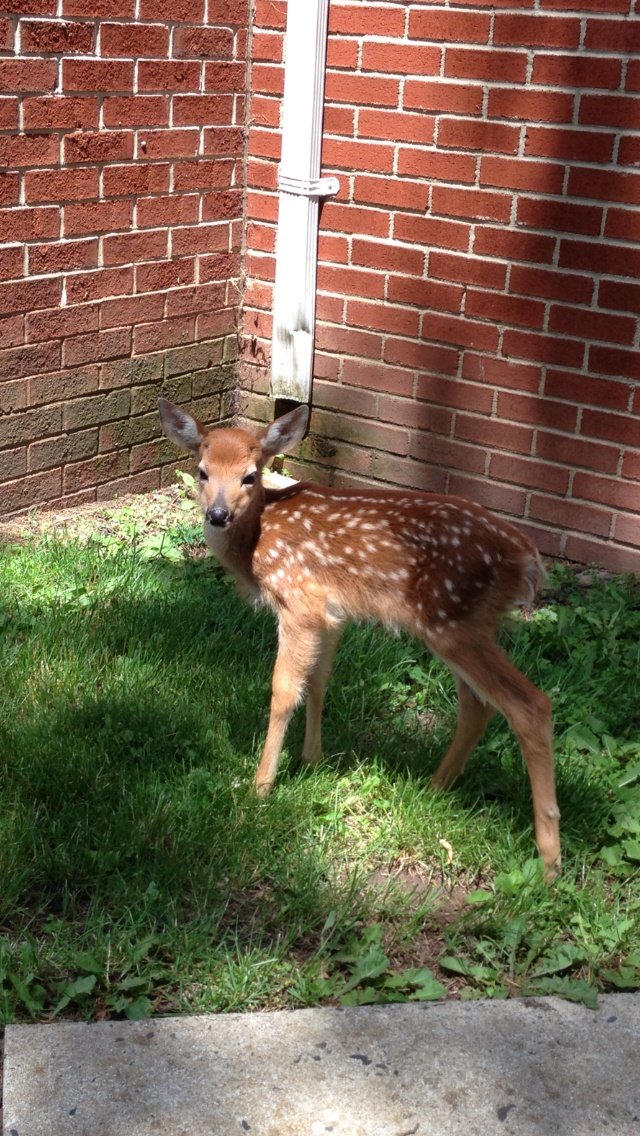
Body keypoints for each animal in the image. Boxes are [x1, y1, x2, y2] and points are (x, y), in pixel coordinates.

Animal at [158, 398, 561, 880]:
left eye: (250, 475)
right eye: (202, 471)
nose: (217, 515)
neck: (257, 542)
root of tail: (527, 560)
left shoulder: (299, 603)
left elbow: (283, 690)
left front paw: (261, 787)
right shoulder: (331, 616)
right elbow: (319, 682)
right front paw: (312, 760)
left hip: (454, 623)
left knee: (529, 704)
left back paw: (549, 861)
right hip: (462, 625)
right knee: (478, 704)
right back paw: (434, 788)